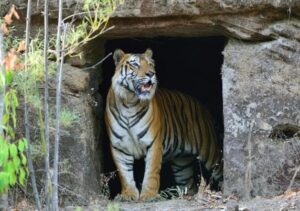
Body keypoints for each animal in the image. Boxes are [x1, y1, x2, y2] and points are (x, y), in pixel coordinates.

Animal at [104, 48, 221, 202]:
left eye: (150, 65)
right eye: (135, 64)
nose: (151, 74)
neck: (130, 102)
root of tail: (203, 107)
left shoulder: (154, 143)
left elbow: (151, 172)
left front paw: (149, 195)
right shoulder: (119, 147)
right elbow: (124, 173)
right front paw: (128, 195)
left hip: (210, 153)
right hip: (181, 164)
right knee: (188, 184)